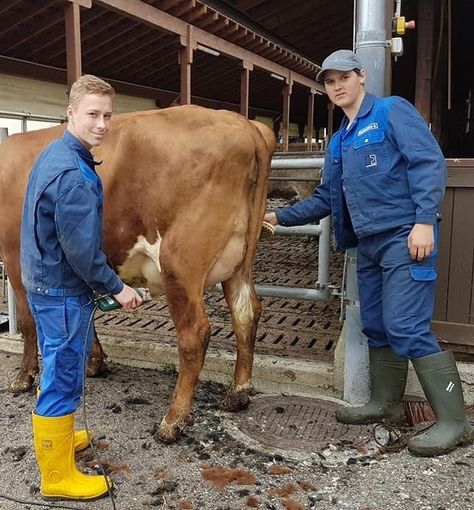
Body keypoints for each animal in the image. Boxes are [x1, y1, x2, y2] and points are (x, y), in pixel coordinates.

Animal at [0, 104, 274, 442]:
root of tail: (245, 126)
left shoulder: (15, 257)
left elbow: (28, 323)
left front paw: (24, 377)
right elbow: (85, 318)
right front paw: (94, 362)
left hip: (179, 262)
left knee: (194, 334)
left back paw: (172, 421)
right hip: (240, 261)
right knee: (246, 313)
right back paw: (238, 392)